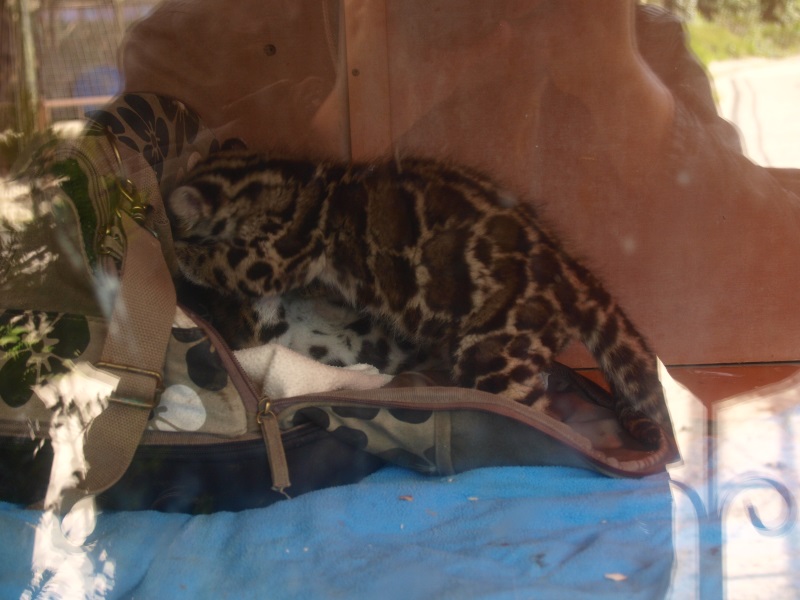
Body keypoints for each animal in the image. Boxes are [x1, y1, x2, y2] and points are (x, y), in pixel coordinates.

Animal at [167, 150, 673, 448]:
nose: (170, 220)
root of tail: (573, 273)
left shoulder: (277, 252)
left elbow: (221, 264)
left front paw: (179, 253)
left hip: (494, 355)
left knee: (541, 415)